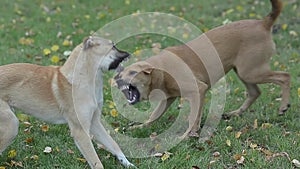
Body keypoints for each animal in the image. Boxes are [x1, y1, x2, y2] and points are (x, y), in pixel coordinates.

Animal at [0, 36, 135, 168]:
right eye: (113, 46)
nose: (129, 54)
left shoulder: (94, 122)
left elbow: (113, 144)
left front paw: (127, 163)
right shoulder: (80, 131)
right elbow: (96, 162)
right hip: (11, 125)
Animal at [113, 0, 290, 137]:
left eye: (133, 72)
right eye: (120, 73)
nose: (116, 80)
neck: (161, 70)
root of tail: (263, 23)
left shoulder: (199, 90)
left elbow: (193, 118)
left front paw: (188, 135)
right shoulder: (167, 99)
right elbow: (153, 116)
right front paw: (139, 127)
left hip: (251, 72)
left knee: (285, 76)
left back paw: (283, 106)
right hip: (243, 72)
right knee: (255, 92)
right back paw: (235, 113)